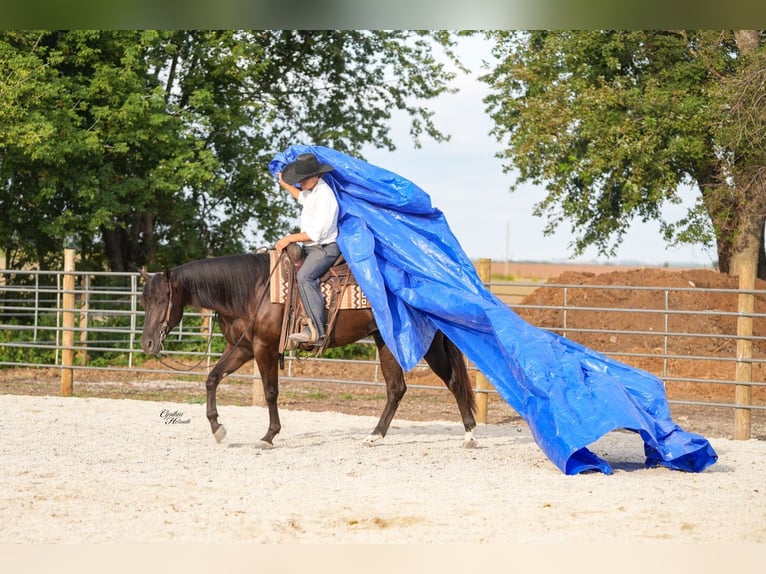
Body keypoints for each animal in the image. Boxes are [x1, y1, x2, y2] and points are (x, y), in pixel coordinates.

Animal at [139, 252, 478, 449]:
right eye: (143, 301)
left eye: (163, 300)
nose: (147, 344)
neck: (253, 289)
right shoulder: (243, 347)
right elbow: (212, 378)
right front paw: (218, 429)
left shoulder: (263, 348)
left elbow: (270, 392)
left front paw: (269, 436)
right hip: (386, 343)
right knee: (396, 389)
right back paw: (374, 436)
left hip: (427, 345)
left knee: (453, 382)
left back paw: (470, 436)